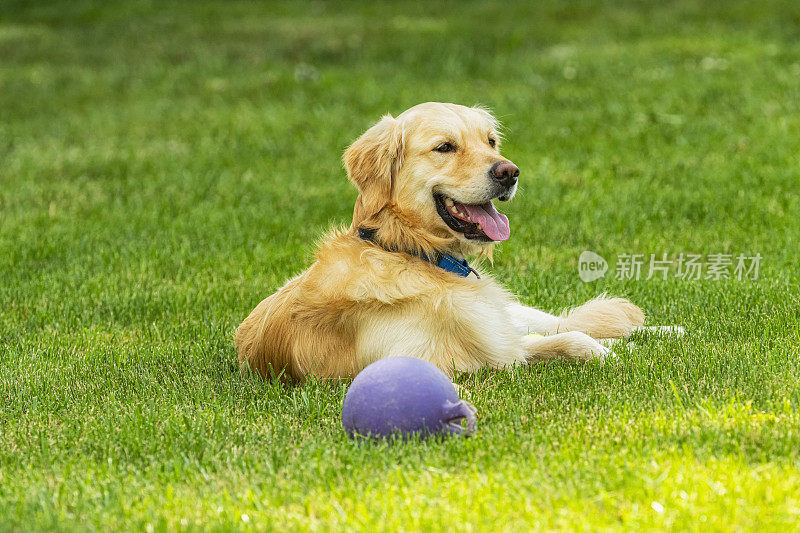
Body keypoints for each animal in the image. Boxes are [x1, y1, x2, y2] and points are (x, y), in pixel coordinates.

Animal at [234, 103, 652, 378]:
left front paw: (621, 352)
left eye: (491, 141)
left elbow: (574, 338)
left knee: (566, 322)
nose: (510, 172)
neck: (412, 254)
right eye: (445, 147)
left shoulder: (497, 335)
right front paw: (618, 354)